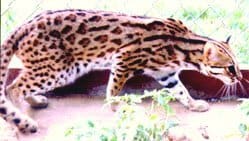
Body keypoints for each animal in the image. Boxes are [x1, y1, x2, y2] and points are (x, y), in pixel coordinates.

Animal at [0, 9, 242, 133]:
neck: (183, 46)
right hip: (58, 69)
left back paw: (34, 102)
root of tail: (24, 25)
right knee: (13, 88)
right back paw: (20, 121)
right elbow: (113, 90)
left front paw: (193, 104)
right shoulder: (123, 59)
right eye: (230, 68)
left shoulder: (166, 74)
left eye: (238, 66)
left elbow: (181, 90)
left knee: (20, 84)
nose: (240, 78)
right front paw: (117, 107)